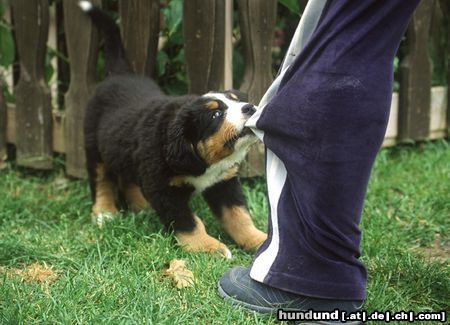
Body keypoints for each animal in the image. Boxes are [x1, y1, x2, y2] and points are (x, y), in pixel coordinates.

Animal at [80, 1, 268, 256]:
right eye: (216, 114)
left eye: (236, 101)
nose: (249, 107)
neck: (202, 161)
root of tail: (119, 74)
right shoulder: (164, 190)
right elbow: (189, 222)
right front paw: (209, 247)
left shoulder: (223, 182)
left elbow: (238, 216)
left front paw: (260, 241)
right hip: (94, 147)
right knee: (101, 180)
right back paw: (105, 213)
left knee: (127, 178)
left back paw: (140, 207)